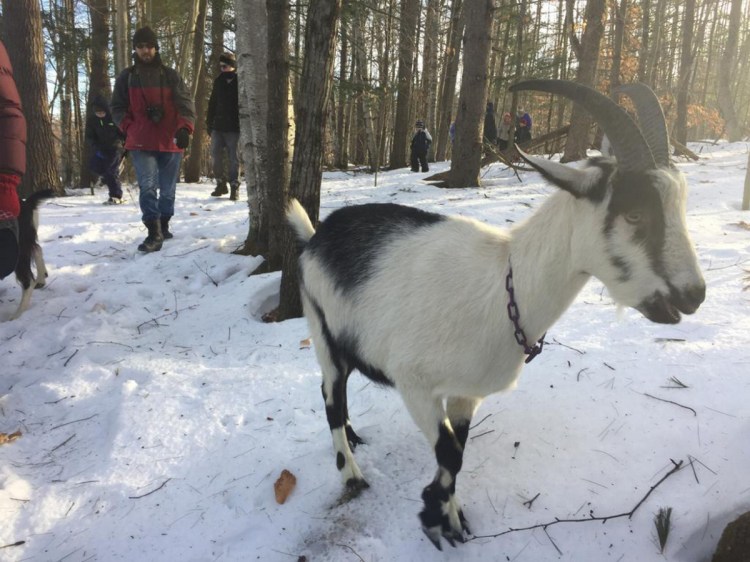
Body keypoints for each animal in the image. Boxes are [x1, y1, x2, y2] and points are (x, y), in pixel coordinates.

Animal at [284, 79, 708, 548]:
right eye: (634, 213)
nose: (694, 295)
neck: (506, 286)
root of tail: (316, 234)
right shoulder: (414, 382)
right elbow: (449, 451)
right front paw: (435, 518)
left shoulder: (466, 393)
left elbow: (457, 451)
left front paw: (450, 517)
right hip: (321, 328)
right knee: (330, 394)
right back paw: (352, 475)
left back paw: (356, 438)